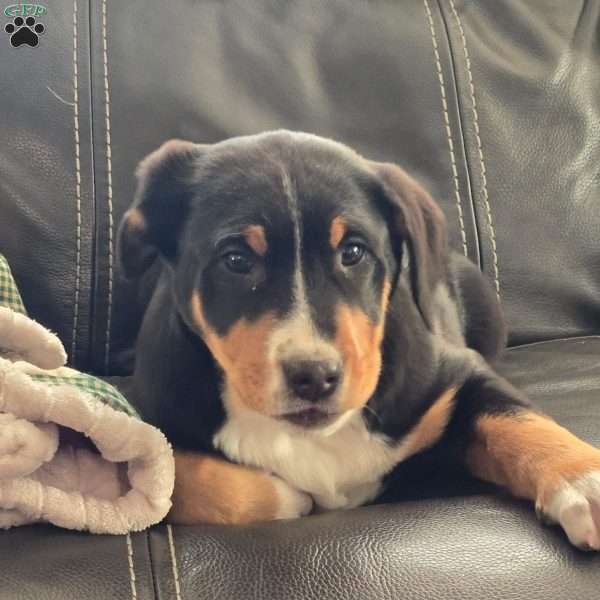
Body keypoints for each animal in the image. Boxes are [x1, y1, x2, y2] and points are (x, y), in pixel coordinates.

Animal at [117, 130, 600, 548]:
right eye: (236, 260)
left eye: (352, 252)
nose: (314, 376)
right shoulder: (150, 407)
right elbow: (171, 474)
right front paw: (290, 497)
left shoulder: (460, 373)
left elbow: (519, 421)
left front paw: (585, 480)